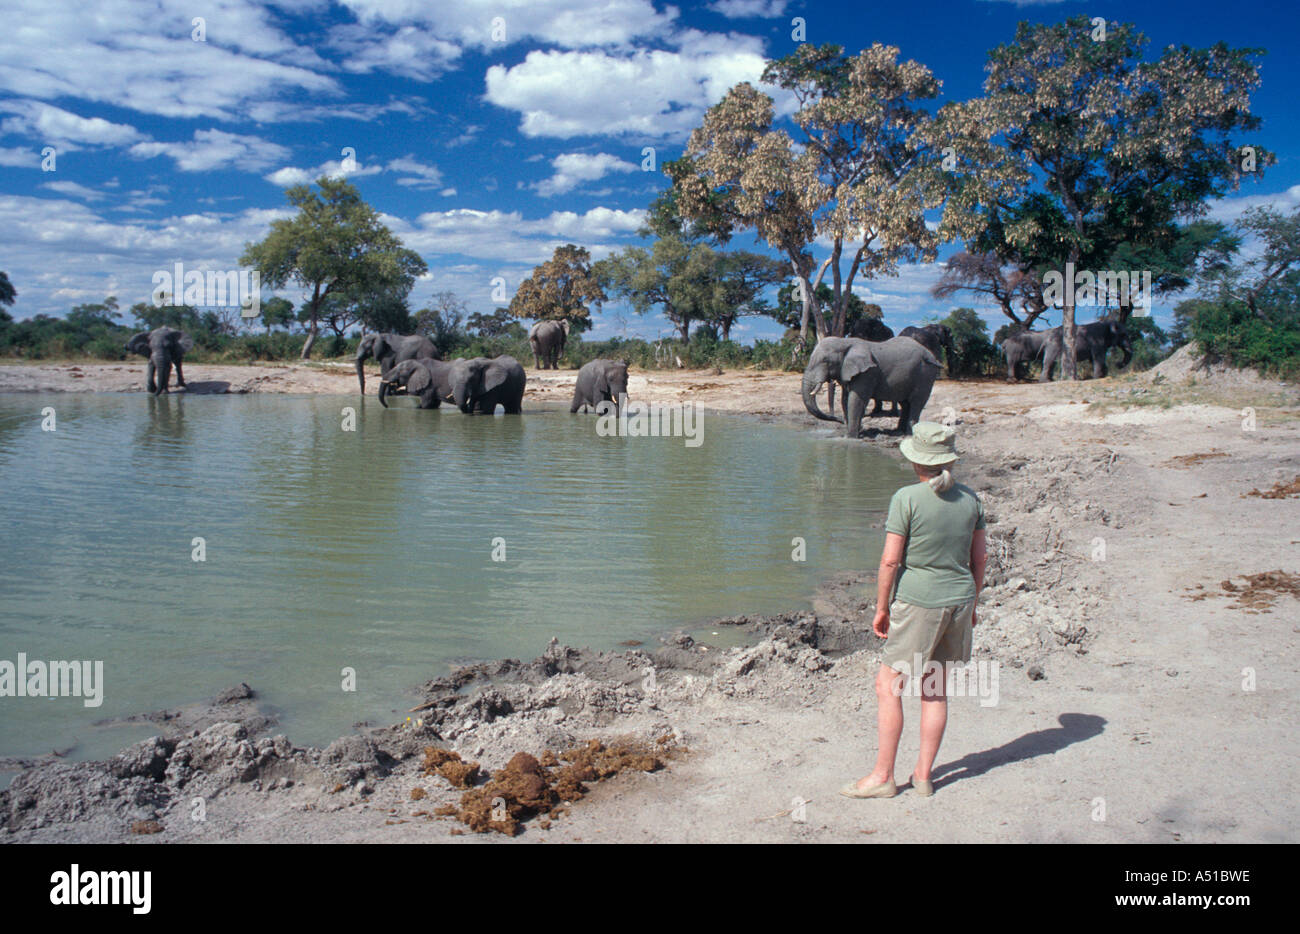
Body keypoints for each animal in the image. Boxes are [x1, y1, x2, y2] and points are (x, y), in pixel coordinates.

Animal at [800, 335, 935, 439]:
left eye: (825, 360)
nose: (840, 420)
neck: (845, 342)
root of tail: (930, 354)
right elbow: (845, 399)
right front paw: (854, 433)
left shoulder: (867, 373)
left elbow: (855, 400)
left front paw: (850, 438)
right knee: (905, 403)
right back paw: (898, 432)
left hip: (925, 375)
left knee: (916, 403)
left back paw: (908, 435)